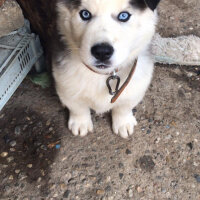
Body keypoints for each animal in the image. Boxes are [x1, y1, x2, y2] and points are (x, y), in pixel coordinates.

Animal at [52, 0, 161, 138]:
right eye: (85, 14)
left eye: (124, 16)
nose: (102, 52)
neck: (101, 74)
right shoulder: (65, 82)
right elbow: (77, 106)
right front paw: (80, 122)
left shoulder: (136, 82)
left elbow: (124, 106)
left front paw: (123, 122)